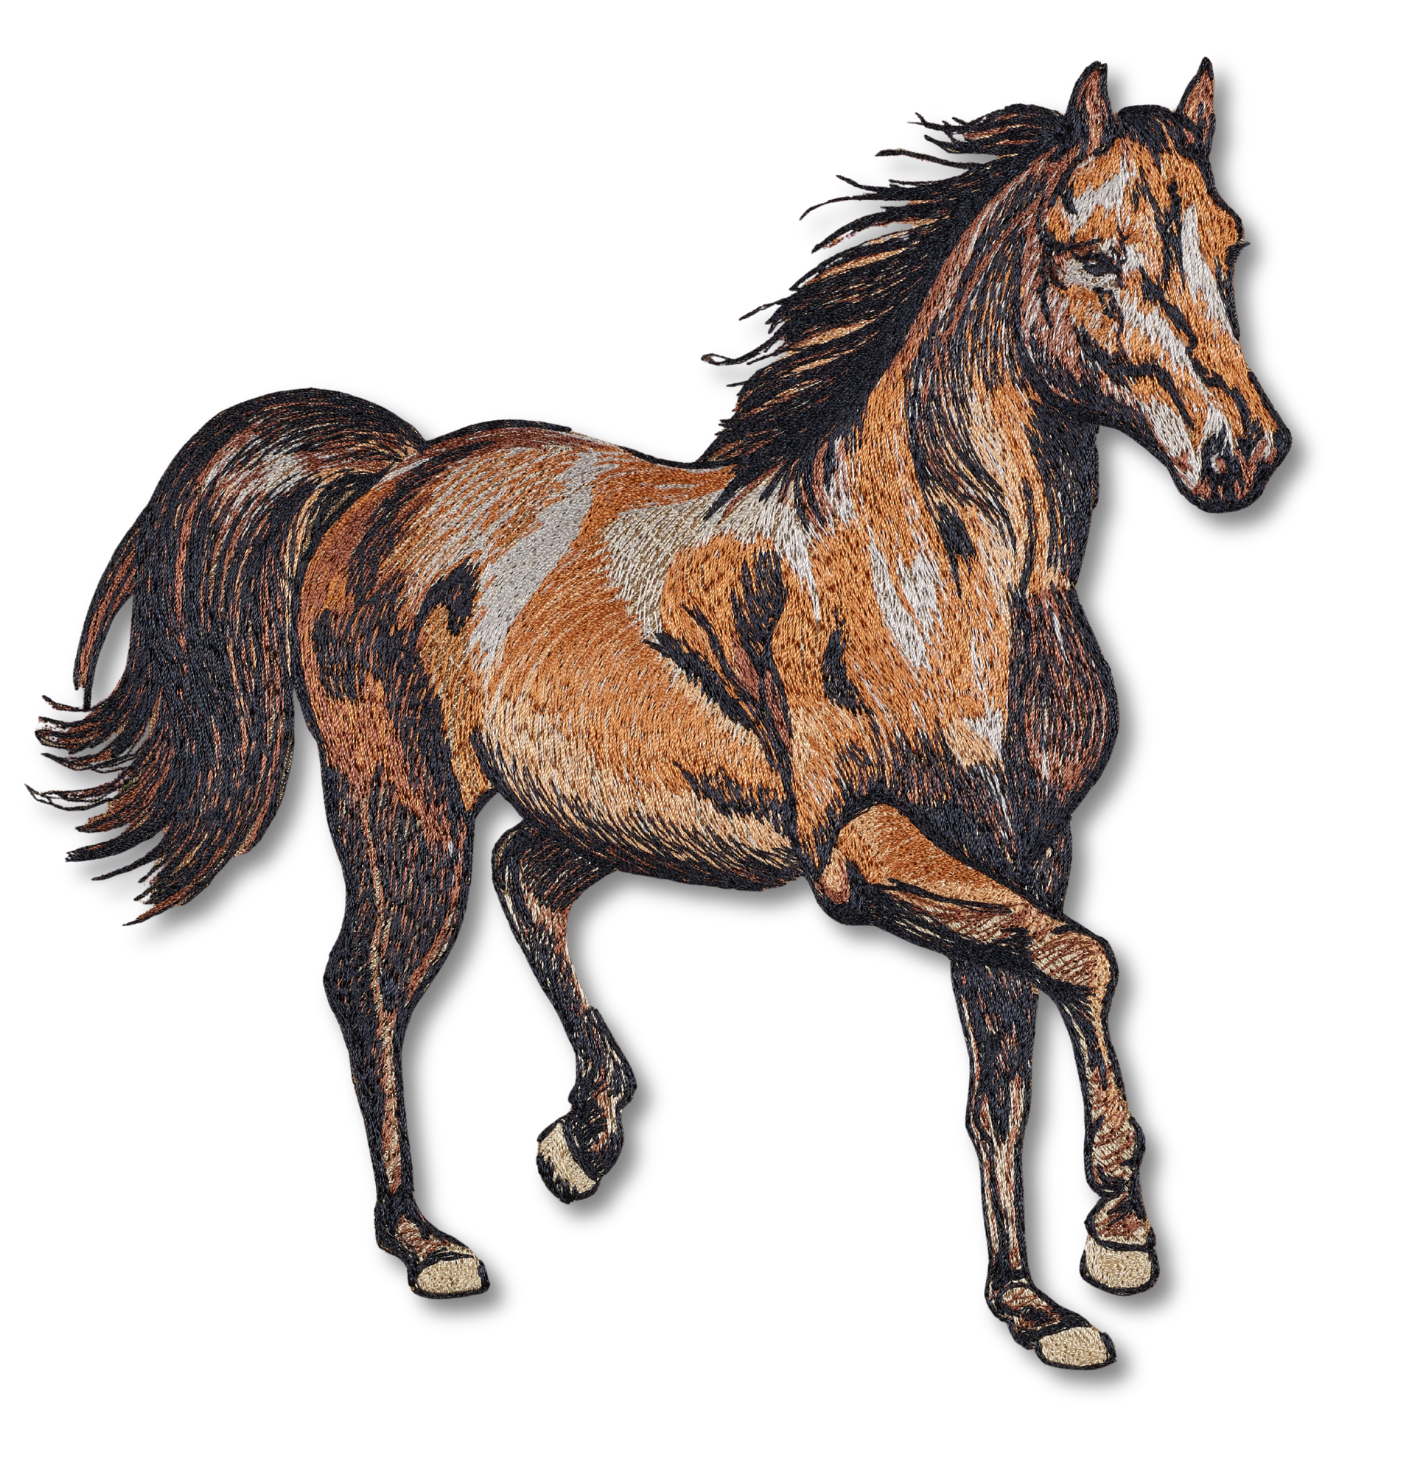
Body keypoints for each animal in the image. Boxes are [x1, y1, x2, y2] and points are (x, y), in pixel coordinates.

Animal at [33, 59, 1286, 1368]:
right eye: (1094, 256)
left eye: (1228, 244)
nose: (1239, 452)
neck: (938, 572)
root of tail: (380, 482)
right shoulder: (865, 853)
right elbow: (1083, 962)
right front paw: (1121, 1230)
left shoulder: (1024, 851)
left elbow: (1002, 1070)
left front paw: (1033, 1307)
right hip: (403, 808)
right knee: (367, 983)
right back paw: (426, 1241)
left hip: (610, 813)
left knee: (526, 883)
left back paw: (580, 1141)